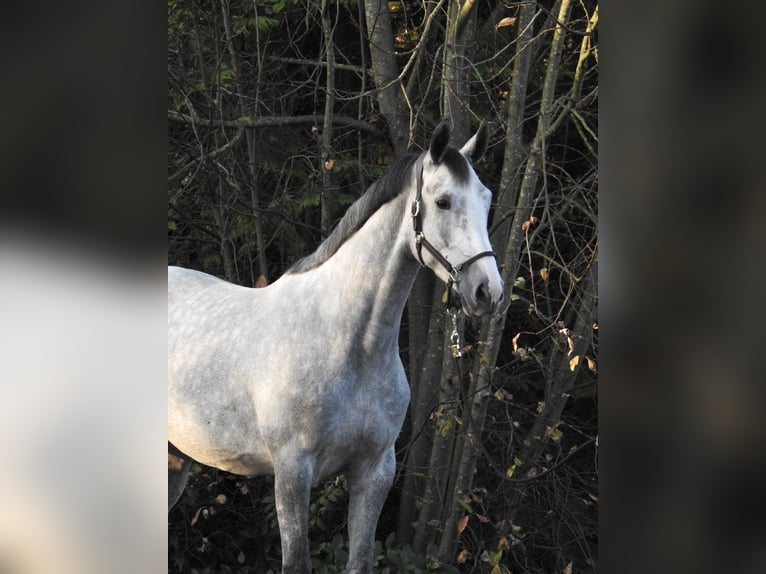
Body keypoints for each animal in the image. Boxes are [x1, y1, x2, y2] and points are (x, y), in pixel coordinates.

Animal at [168, 119, 504, 572]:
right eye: (443, 201)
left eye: (486, 199)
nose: (488, 291)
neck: (350, 344)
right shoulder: (293, 474)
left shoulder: (375, 472)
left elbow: (360, 559)